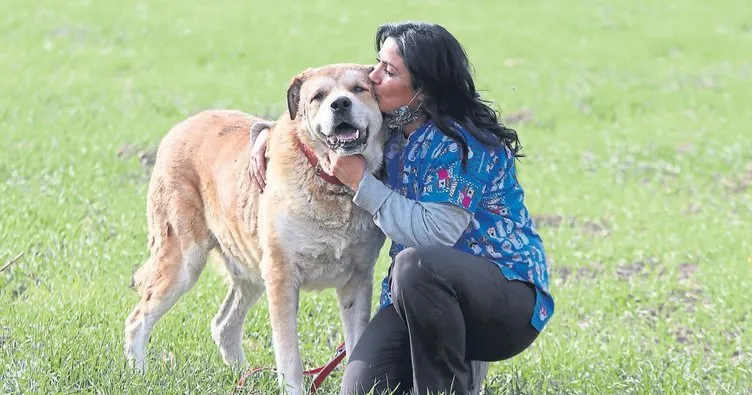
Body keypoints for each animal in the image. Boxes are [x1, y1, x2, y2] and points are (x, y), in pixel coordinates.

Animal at [124, 63, 388, 394]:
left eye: (359, 89)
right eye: (318, 96)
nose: (340, 104)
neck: (330, 182)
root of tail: (179, 127)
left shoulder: (358, 279)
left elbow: (355, 348)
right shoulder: (282, 277)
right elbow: (289, 356)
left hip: (251, 269)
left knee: (224, 325)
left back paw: (244, 377)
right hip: (183, 261)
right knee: (138, 319)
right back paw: (139, 375)